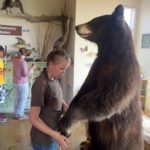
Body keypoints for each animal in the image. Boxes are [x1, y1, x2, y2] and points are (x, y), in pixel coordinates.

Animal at [58, 4, 144, 149]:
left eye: (94, 21)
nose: (77, 26)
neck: (110, 54)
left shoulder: (124, 72)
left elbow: (107, 98)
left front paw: (66, 123)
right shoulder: (97, 67)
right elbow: (85, 89)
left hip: (125, 138)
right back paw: (88, 144)